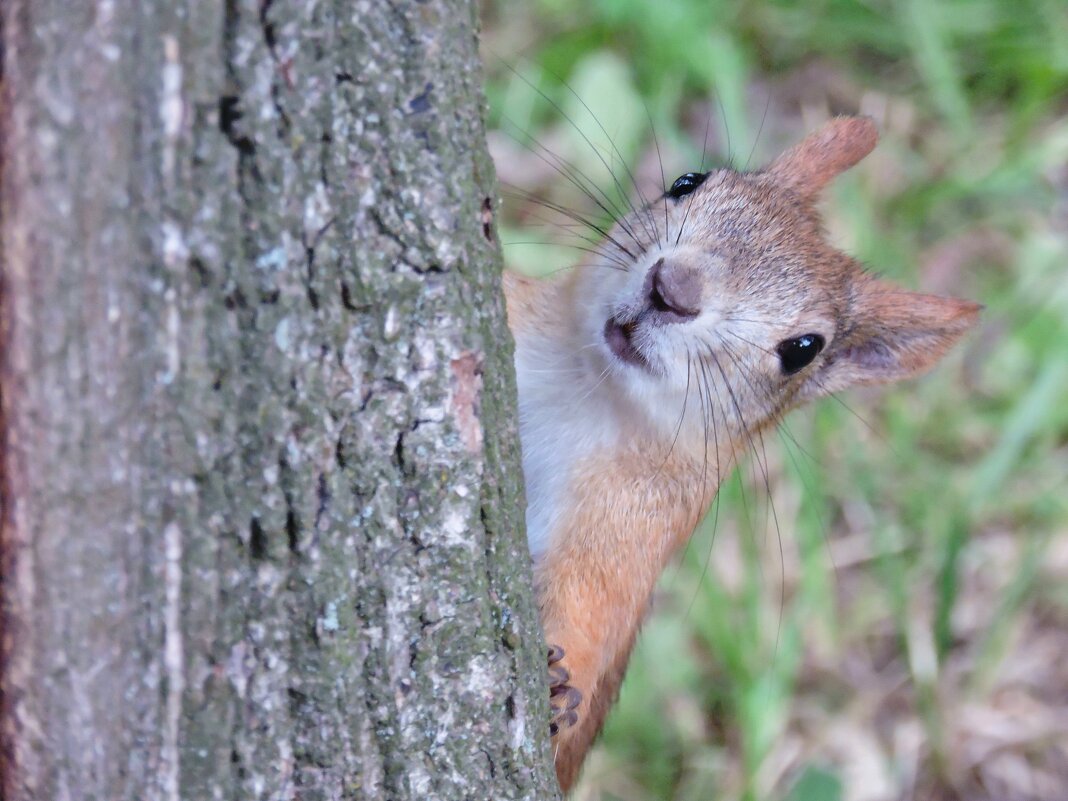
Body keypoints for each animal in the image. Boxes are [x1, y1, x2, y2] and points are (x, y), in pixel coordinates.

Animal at [504, 115, 978, 794]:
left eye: (803, 349)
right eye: (687, 181)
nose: (672, 289)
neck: (585, 385)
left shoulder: (627, 530)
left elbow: (589, 607)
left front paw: (556, 690)